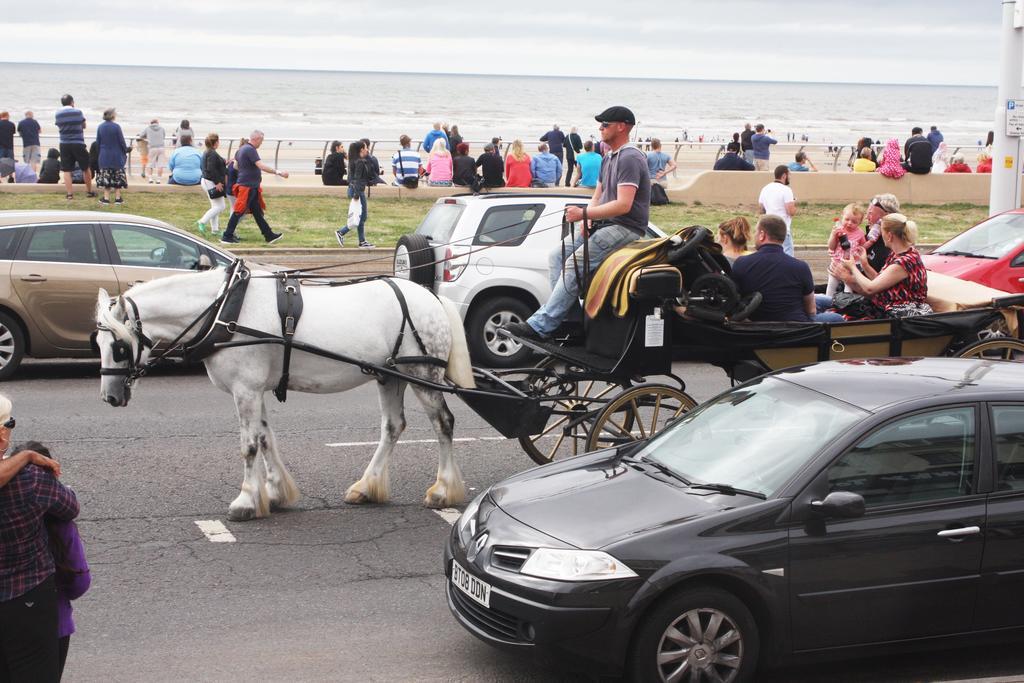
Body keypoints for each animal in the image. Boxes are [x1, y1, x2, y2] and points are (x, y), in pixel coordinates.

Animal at [94, 264, 473, 520]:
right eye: (96, 342)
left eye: (119, 348)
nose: (110, 397)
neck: (225, 311)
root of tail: (432, 297)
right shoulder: (255, 389)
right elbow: (265, 439)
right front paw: (275, 492)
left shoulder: (245, 389)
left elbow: (248, 445)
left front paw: (247, 500)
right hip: (390, 375)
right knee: (393, 426)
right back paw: (367, 486)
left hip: (421, 373)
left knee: (443, 422)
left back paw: (443, 490)